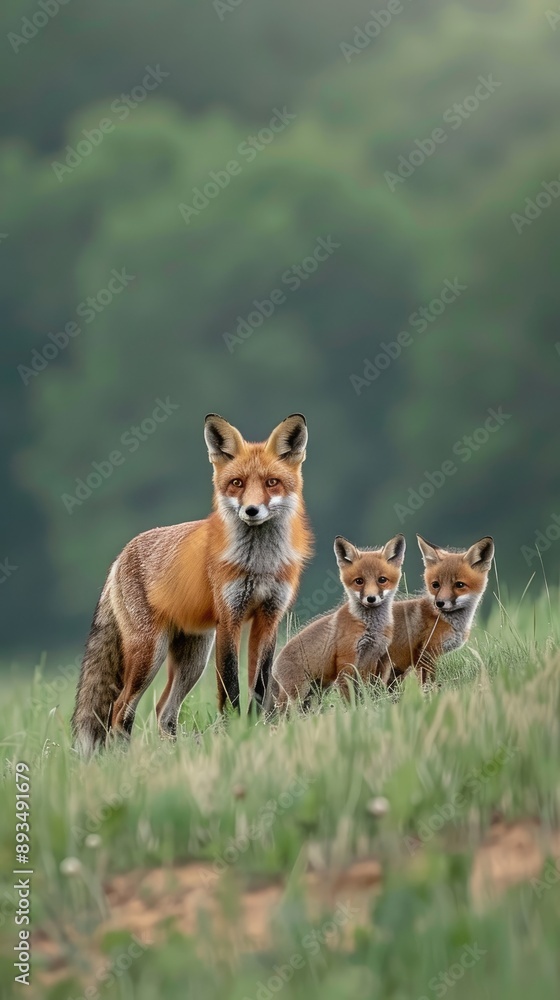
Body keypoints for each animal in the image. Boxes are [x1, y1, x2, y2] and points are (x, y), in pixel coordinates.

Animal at [71, 413, 313, 754]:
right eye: (237, 483)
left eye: (271, 483)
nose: (252, 510)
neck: (258, 565)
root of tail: (120, 556)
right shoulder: (229, 620)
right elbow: (230, 688)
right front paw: (233, 733)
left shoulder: (268, 619)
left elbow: (259, 686)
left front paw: (257, 729)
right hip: (150, 652)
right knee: (120, 711)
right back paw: (125, 758)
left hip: (193, 658)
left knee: (163, 711)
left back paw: (171, 752)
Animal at [265, 533, 406, 711]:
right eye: (359, 581)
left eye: (382, 580)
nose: (371, 599)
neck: (370, 627)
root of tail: (274, 666)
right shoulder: (346, 661)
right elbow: (349, 697)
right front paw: (353, 713)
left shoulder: (370, 660)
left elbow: (364, 692)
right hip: (298, 694)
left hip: (316, 694)